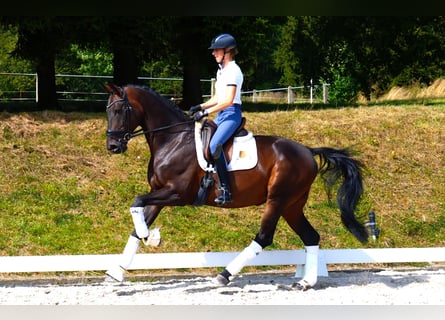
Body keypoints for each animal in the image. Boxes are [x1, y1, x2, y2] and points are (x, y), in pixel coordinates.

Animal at [104, 82, 368, 290]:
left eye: (118, 109)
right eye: (107, 111)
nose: (113, 146)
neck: (173, 139)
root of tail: (307, 151)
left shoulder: (177, 193)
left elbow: (137, 203)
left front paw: (152, 238)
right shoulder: (159, 193)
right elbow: (137, 225)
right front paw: (117, 271)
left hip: (277, 199)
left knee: (264, 237)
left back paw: (224, 275)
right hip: (292, 205)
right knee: (311, 236)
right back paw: (305, 282)